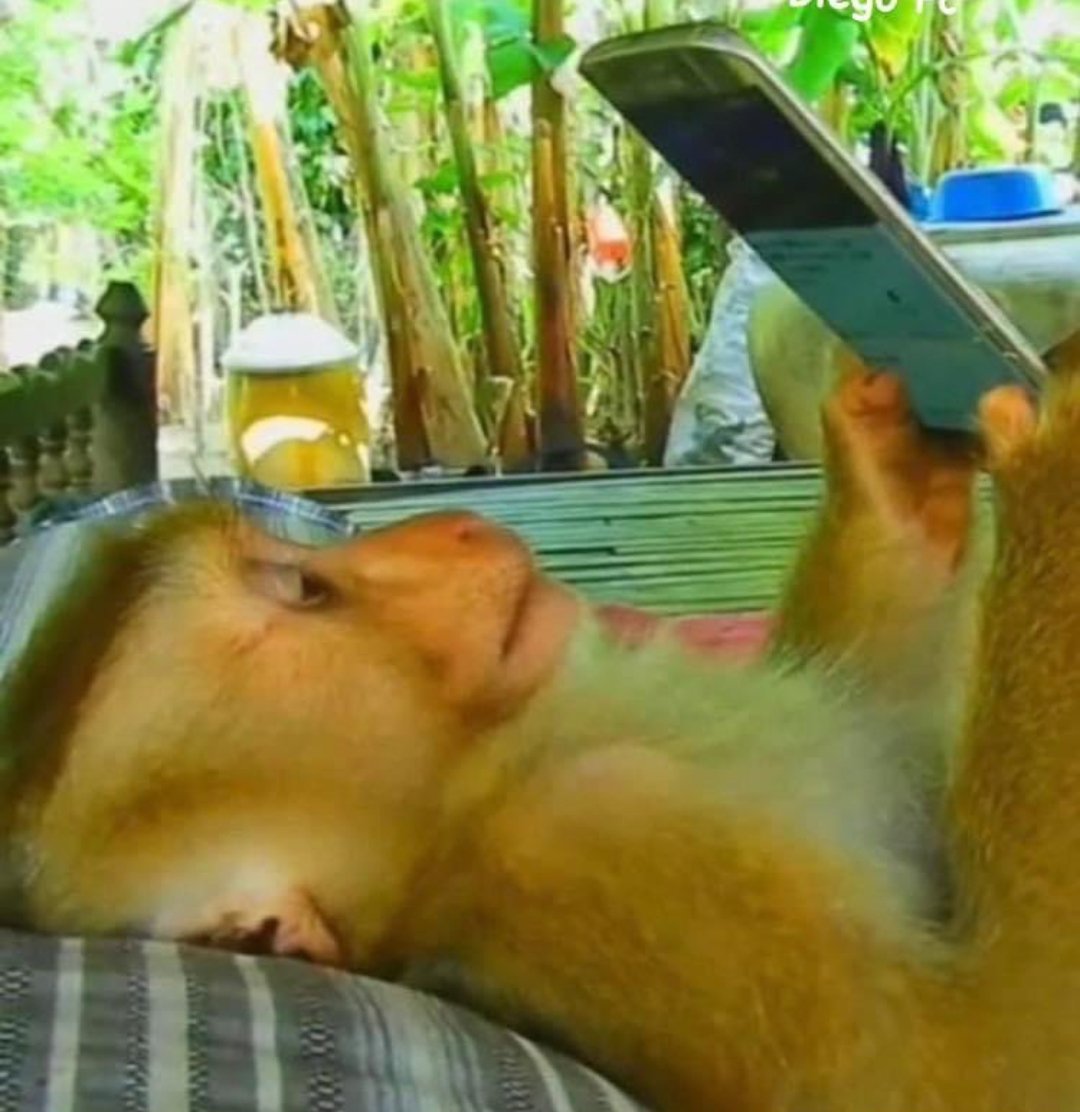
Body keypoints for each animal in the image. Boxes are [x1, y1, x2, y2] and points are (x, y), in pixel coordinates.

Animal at [0, 353, 1077, 1111]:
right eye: (306, 589)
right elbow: (978, 1068)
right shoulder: (587, 838)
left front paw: (888, 482)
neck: (505, 768)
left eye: (296, 559)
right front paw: (1055, 448)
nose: (456, 525)